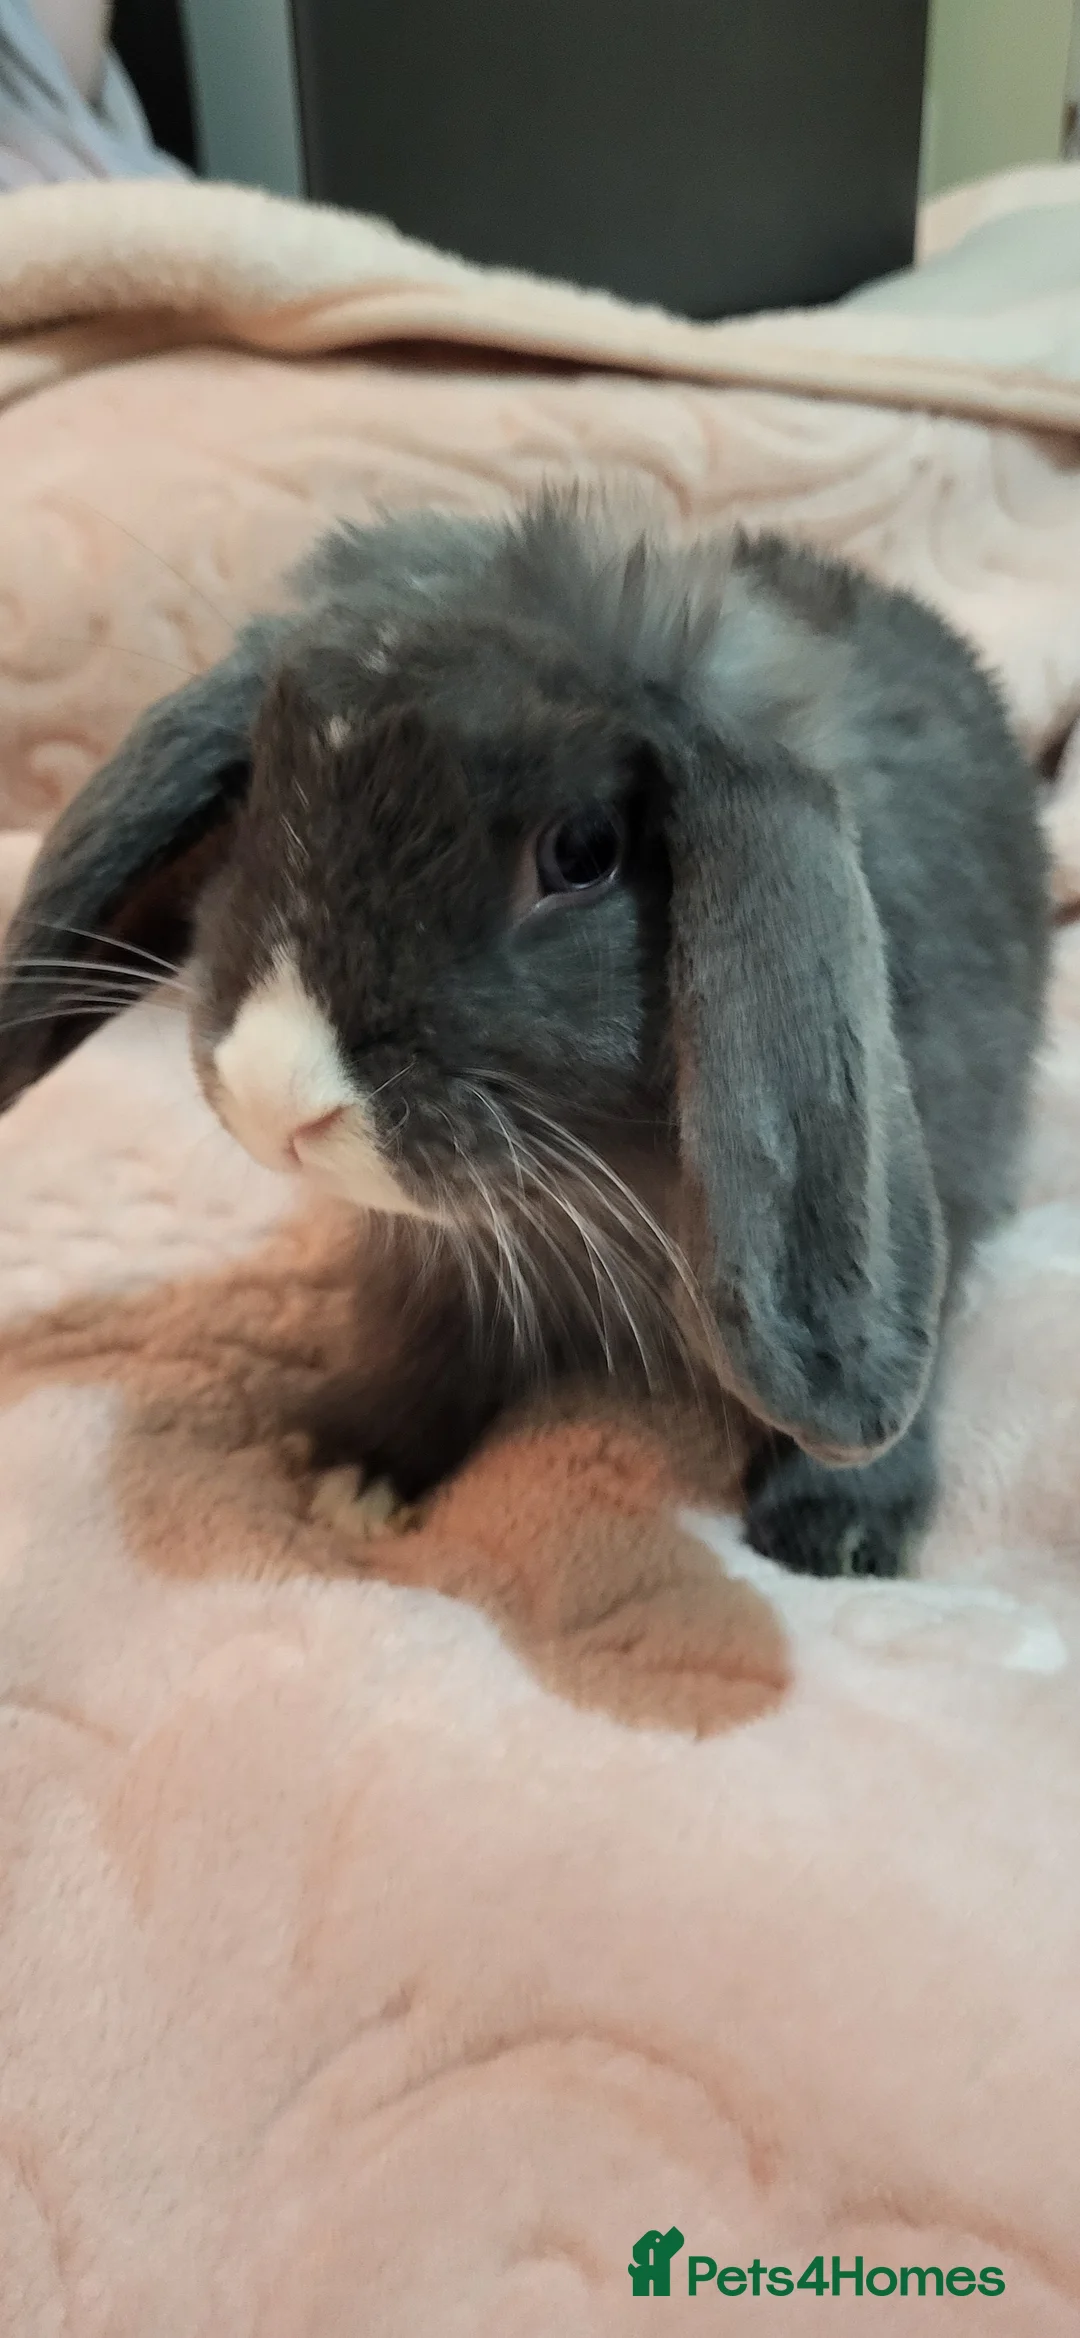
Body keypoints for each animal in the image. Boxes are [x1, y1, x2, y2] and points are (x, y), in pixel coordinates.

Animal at [0, 489, 1050, 1576]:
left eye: (581, 852)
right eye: (258, 794)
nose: (270, 1095)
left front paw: (832, 1533)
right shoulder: (429, 1265)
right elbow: (420, 1339)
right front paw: (353, 1469)